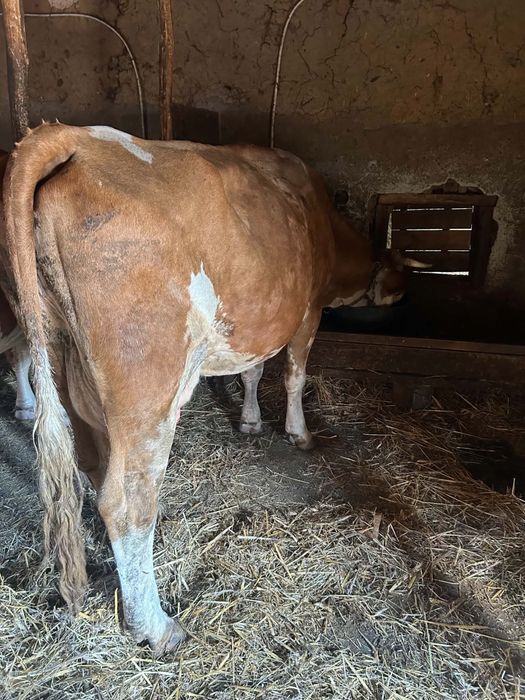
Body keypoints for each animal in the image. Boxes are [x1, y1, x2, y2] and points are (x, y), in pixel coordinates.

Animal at [2, 122, 418, 654]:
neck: (321, 220)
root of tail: (72, 136)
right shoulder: (308, 312)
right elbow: (294, 373)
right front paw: (298, 432)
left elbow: (252, 372)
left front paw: (250, 422)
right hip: (148, 387)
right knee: (128, 501)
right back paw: (156, 627)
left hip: (60, 358)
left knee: (91, 468)